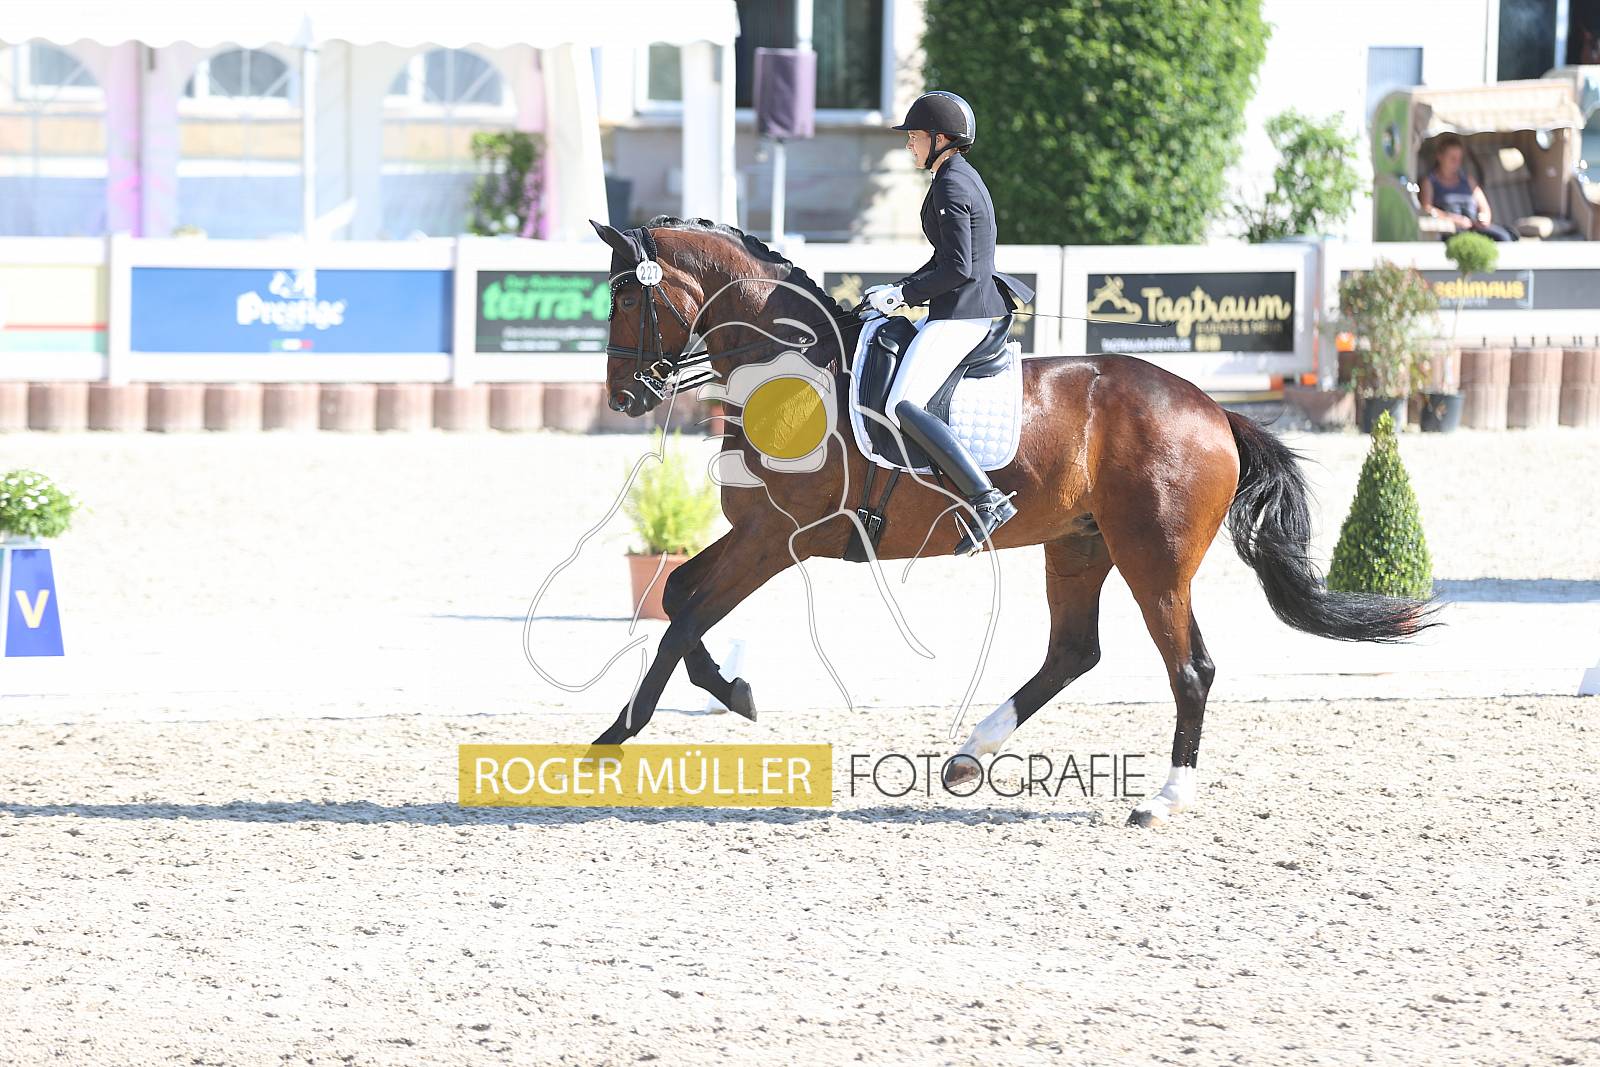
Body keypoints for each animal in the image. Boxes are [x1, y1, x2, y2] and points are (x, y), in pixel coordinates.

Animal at [587, 215, 1437, 827]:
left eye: (626, 299)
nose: (624, 397)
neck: (791, 373)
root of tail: (1214, 410)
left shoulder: (776, 540)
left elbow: (685, 617)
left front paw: (615, 736)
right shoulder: (759, 534)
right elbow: (678, 598)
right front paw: (729, 690)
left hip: (1154, 559)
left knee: (1189, 668)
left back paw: (1161, 800)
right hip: (1080, 548)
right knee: (1073, 652)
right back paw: (969, 754)